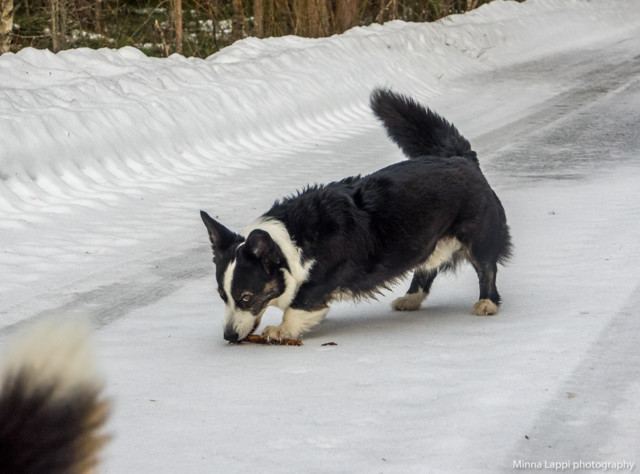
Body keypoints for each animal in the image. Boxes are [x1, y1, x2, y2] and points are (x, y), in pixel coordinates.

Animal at [200, 89, 510, 340]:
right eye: (222, 296)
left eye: (246, 297)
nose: (228, 336)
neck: (292, 241)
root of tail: (460, 158)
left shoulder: (322, 280)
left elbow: (298, 305)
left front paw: (280, 330)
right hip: (426, 240)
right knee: (426, 269)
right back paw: (410, 300)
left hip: (478, 236)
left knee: (487, 268)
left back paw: (486, 303)